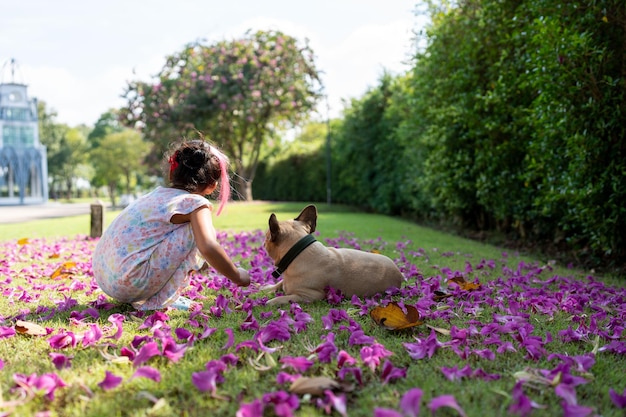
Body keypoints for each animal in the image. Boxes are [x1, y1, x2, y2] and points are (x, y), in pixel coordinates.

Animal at [260, 204, 402, 304]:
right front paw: (265, 288)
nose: (264, 242)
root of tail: (400, 274)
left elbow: (281, 299)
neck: (298, 252)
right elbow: (279, 284)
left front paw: (270, 300)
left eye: (267, 237)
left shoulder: (310, 295)